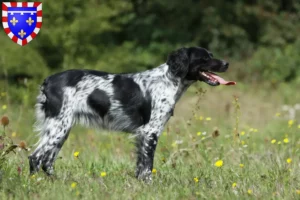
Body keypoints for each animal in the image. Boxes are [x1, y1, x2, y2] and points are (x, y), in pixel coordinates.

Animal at [28, 47, 234, 181]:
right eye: (205, 58)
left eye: (211, 55)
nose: (226, 63)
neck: (168, 80)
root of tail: (48, 81)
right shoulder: (150, 131)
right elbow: (147, 166)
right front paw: (149, 185)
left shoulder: (142, 134)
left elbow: (140, 165)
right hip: (59, 126)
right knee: (36, 157)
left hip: (62, 128)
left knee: (47, 160)